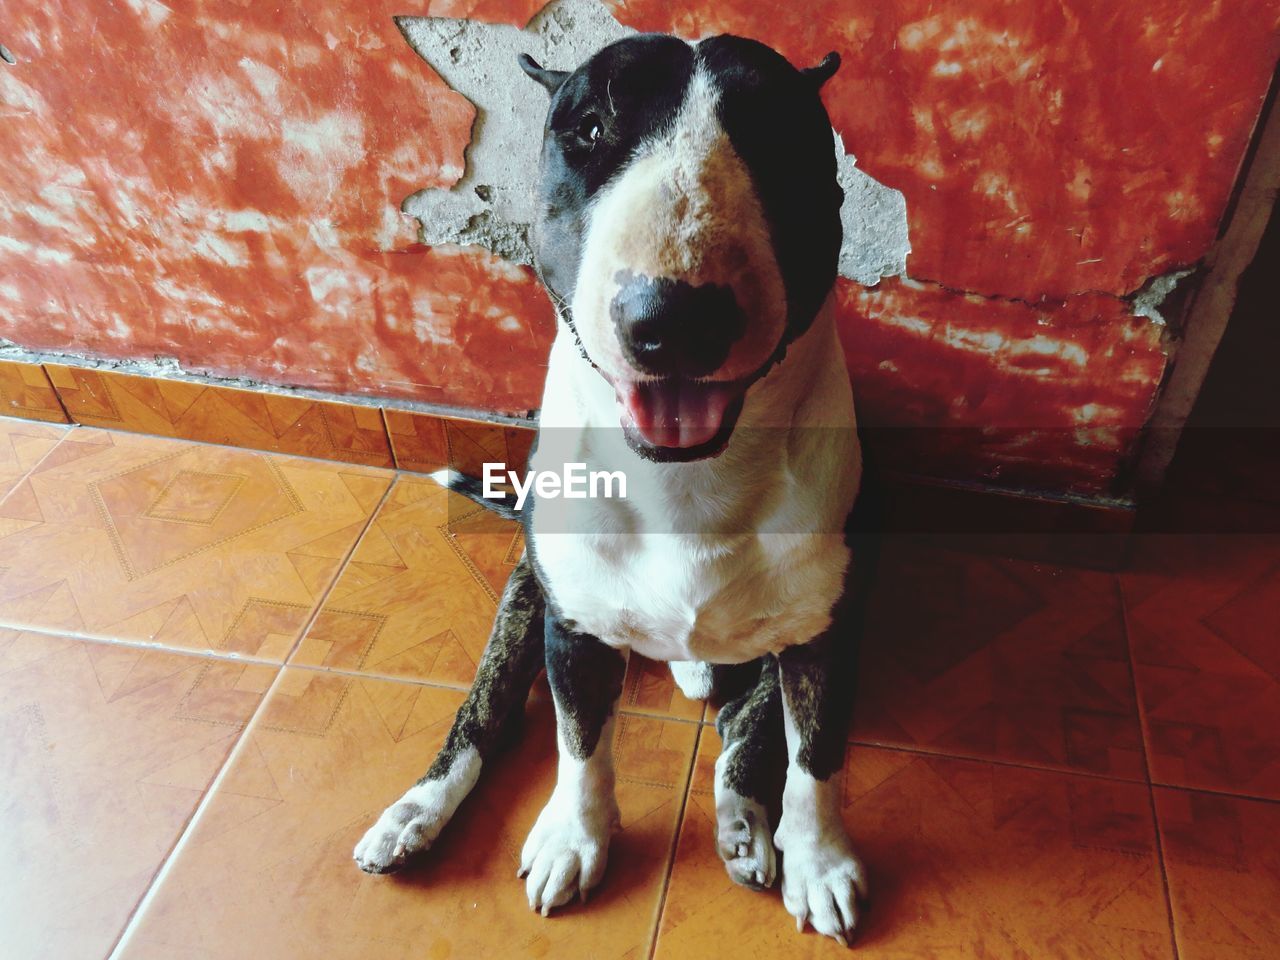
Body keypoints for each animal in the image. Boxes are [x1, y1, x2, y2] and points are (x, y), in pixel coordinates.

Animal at [355, 30, 870, 947]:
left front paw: (820, 862)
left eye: (777, 133)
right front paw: (574, 837)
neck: (688, 484)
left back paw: (744, 818)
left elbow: (816, 757)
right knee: (487, 711)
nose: (676, 318)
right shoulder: (571, 626)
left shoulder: (829, 628)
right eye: (589, 128)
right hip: (526, 591)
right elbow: (578, 743)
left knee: (746, 719)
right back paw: (417, 811)